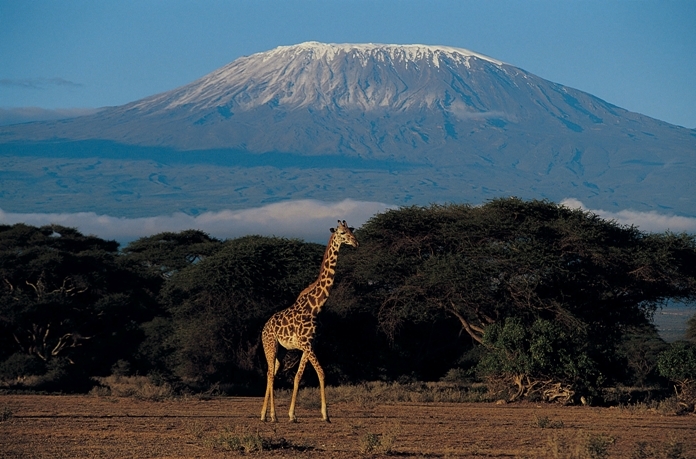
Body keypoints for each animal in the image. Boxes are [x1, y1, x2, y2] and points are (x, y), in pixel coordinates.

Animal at [260, 220, 358, 423]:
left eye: (352, 230)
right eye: (342, 233)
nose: (355, 242)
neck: (316, 306)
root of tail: (263, 328)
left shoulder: (309, 345)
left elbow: (298, 376)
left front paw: (292, 414)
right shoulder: (307, 345)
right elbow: (321, 372)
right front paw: (325, 415)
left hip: (281, 351)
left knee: (271, 372)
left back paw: (264, 415)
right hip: (270, 345)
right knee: (270, 374)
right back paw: (273, 416)